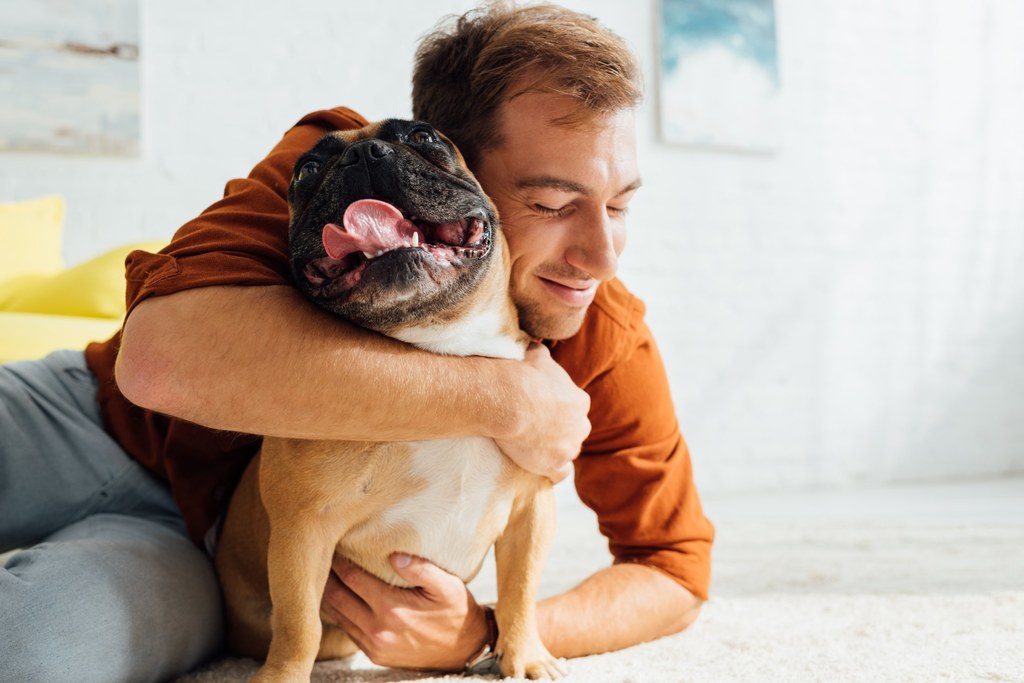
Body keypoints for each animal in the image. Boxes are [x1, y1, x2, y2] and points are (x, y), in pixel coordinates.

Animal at [216, 120, 565, 679]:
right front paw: (282, 676)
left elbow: (520, 588)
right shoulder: (302, 530)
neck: (442, 351)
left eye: (425, 138)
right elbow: (298, 623)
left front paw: (525, 656)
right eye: (306, 170)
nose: (364, 154)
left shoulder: (531, 512)